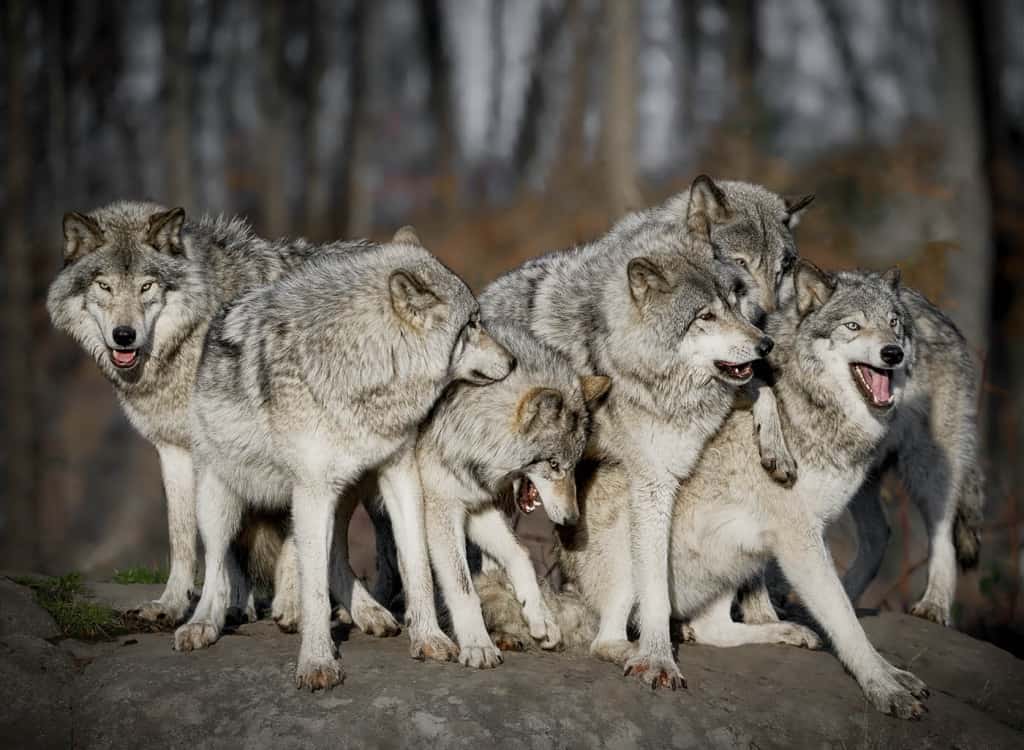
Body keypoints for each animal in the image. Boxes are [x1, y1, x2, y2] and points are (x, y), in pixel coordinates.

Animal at [47, 201, 376, 622]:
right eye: (104, 286)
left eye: (146, 286)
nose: (124, 336)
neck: (194, 335)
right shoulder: (176, 450)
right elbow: (187, 534)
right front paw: (182, 604)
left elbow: (288, 532)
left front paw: (289, 605)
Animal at [173, 229, 520, 692]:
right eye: (473, 324)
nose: (513, 360)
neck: (364, 369)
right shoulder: (313, 490)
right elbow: (314, 591)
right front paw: (318, 661)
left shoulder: (399, 474)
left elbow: (416, 566)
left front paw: (429, 638)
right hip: (221, 500)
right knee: (216, 567)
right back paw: (203, 624)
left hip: (345, 495)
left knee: (334, 555)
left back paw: (370, 612)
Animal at [415, 321, 606, 668]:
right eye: (554, 465)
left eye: (574, 466)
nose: (572, 520)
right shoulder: (442, 509)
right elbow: (463, 587)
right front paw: (477, 644)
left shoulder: (476, 506)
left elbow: (520, 553)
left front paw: (540, 617)